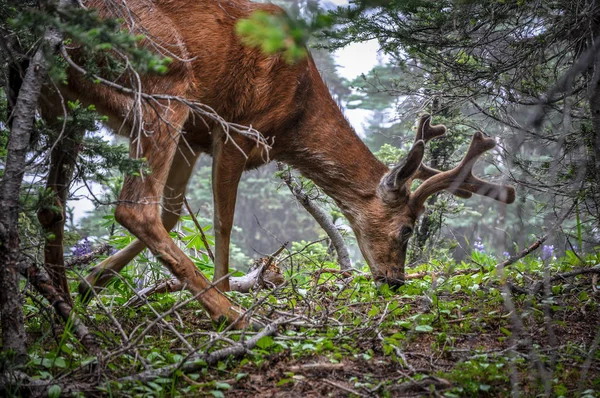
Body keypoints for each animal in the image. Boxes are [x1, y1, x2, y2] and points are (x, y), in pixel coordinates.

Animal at [45, 0, 516, 330]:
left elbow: (174, 212)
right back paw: (231, 316)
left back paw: (65, 305)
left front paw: (94, 281)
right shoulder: (236, 130)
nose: (395, 281)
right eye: (406, 229)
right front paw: (226, 290)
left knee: (53, 204)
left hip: (66, 96)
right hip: (164, 84)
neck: (294, 118)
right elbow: (222, 223)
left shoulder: (194, 137)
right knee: (133, 207)